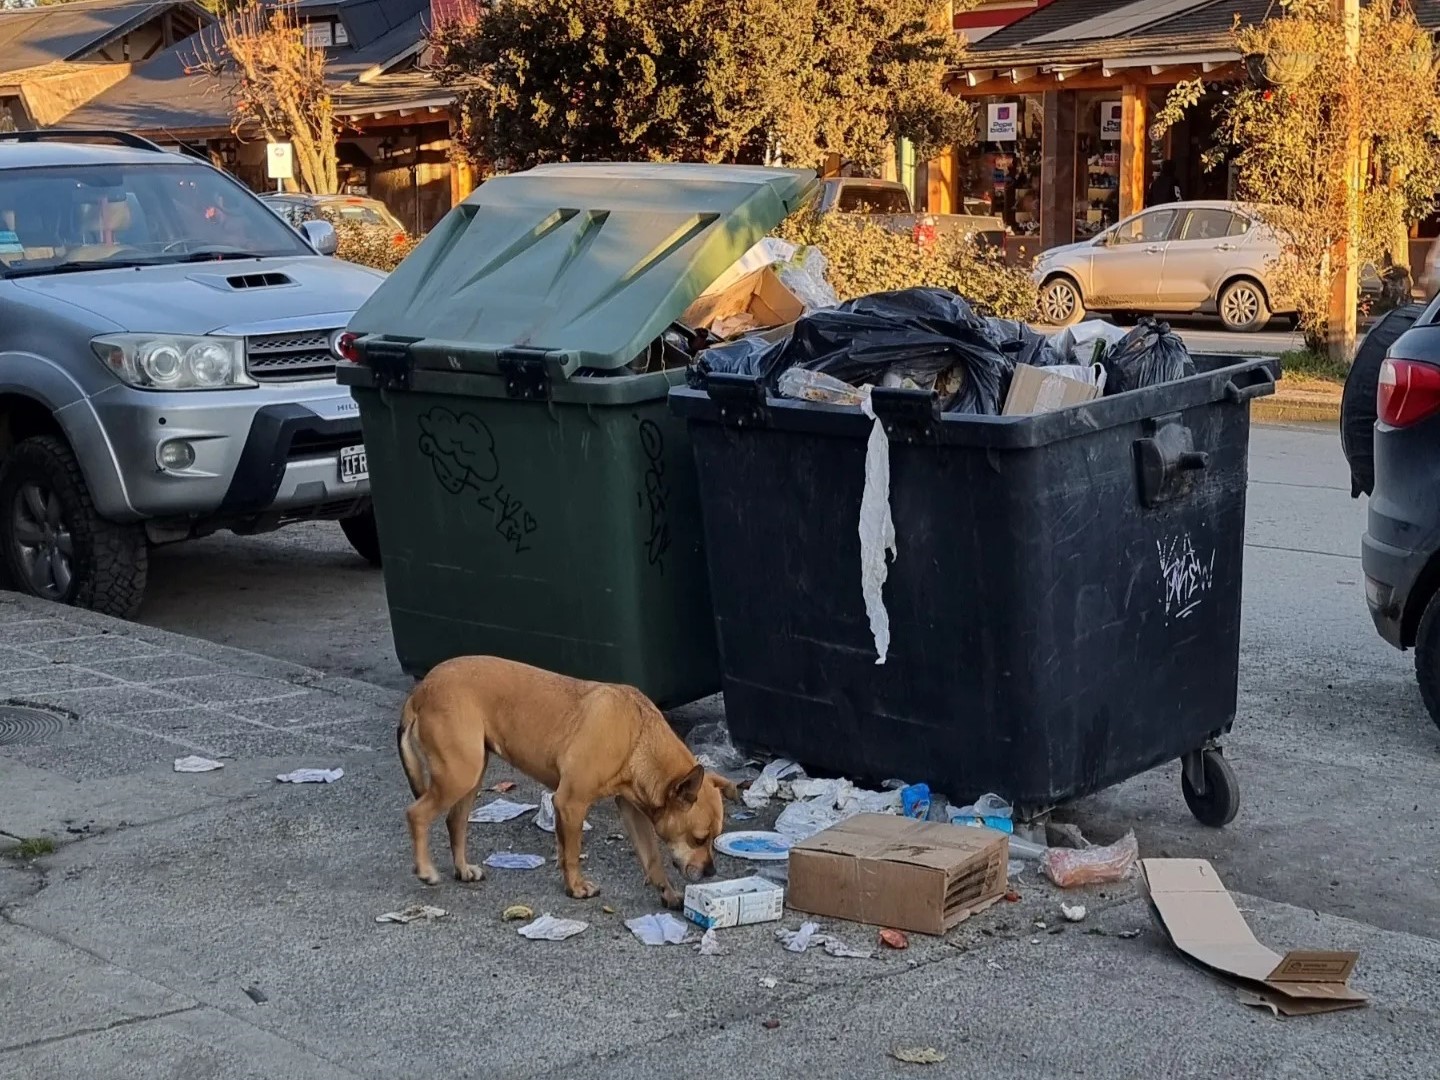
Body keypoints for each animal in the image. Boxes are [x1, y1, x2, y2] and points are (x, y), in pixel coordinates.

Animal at [397, 656, 743, 910]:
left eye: (714, 837)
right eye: (699, 838)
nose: (711, 873)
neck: (637, 735)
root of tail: (421, 689)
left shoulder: (632, 811)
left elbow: (652, 858)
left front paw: (667, 893)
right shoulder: (571, 803)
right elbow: (574, 852)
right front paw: (576, 887)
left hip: (470, 775)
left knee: (455, 821)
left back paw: (462, 869)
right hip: (459, 775)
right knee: (417, 814)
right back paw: (425, 870)